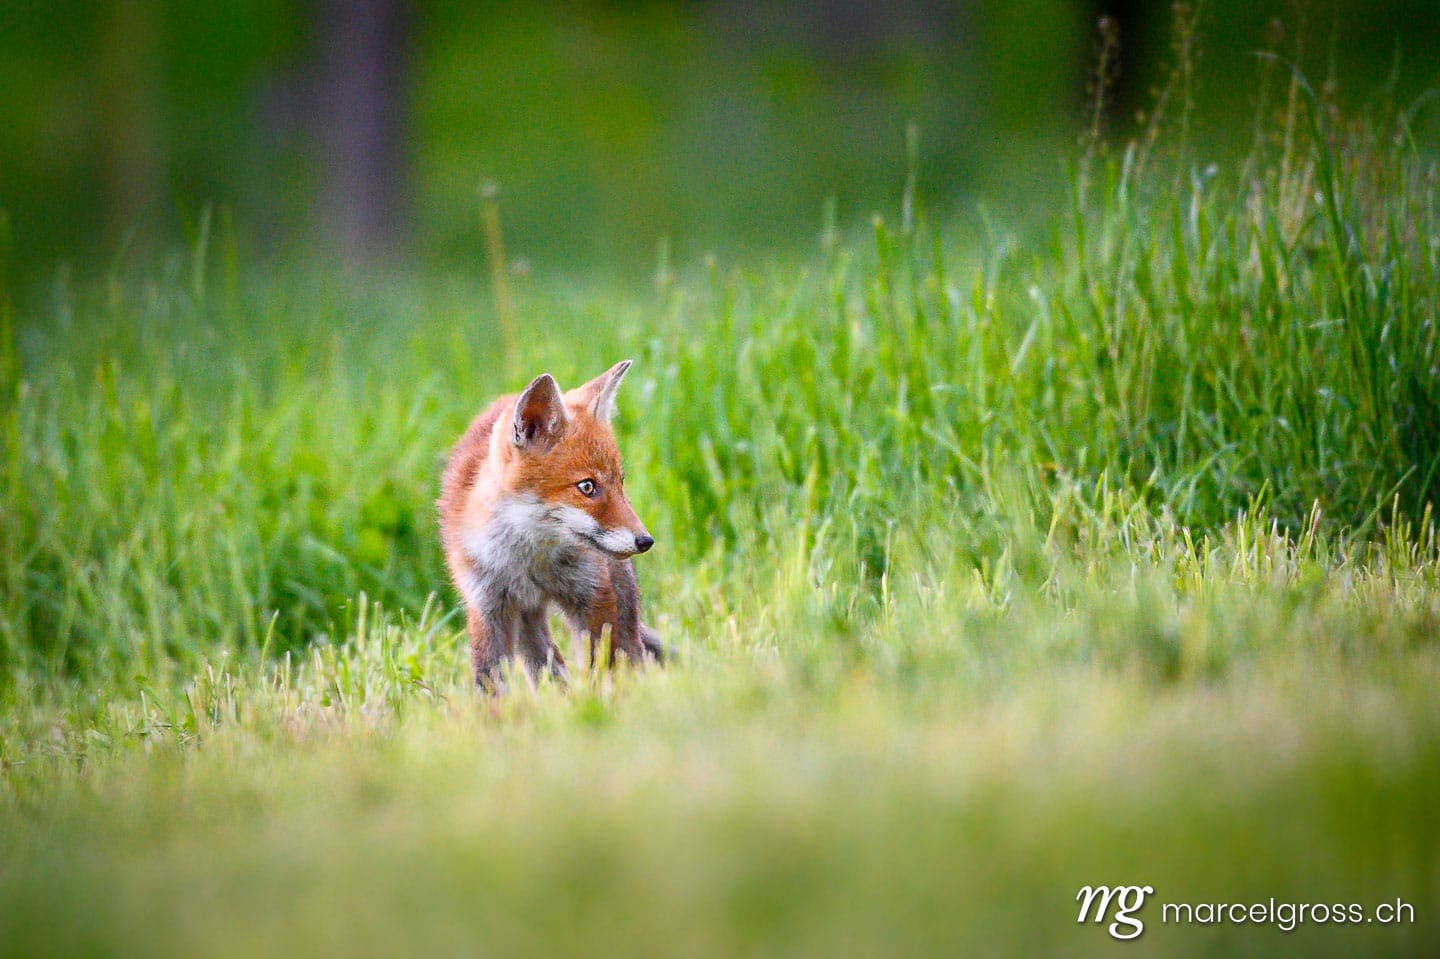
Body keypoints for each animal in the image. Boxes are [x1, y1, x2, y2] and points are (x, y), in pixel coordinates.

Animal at [438, 360, 662, 691]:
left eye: (620, 483)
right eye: (587, 487)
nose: (645, 541)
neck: (529, 559)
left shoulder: (593, 593)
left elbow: (601, 664)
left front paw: (601, 697)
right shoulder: (486, 606)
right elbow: (490, 680)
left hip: (618, 601)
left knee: (629, 650)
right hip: (526, 616)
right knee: (545, 662)